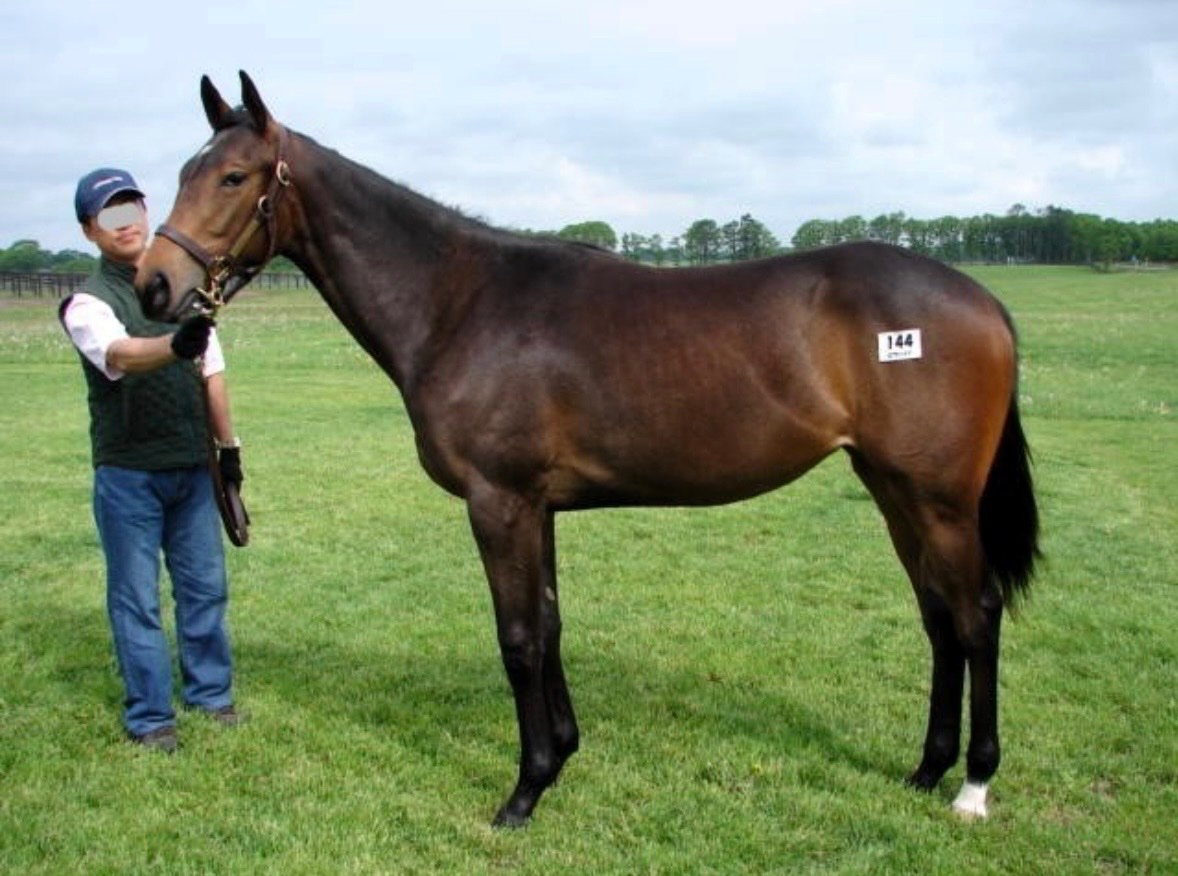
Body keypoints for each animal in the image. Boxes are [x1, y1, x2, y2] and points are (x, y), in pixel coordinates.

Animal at [136, 72, 1039, 827]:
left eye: (233, 177)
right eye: (184, 170)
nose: (154, 285)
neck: (459, 301)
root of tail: (984, 301)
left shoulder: (498, 502)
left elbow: (517, 638)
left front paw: (524, 791)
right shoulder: (537, 506)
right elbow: (550, 624)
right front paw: (562, 757)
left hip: (939, 500)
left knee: (976, 613)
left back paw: (973, 785)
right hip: (891, 489)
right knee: (938, 617)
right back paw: (926, 770)